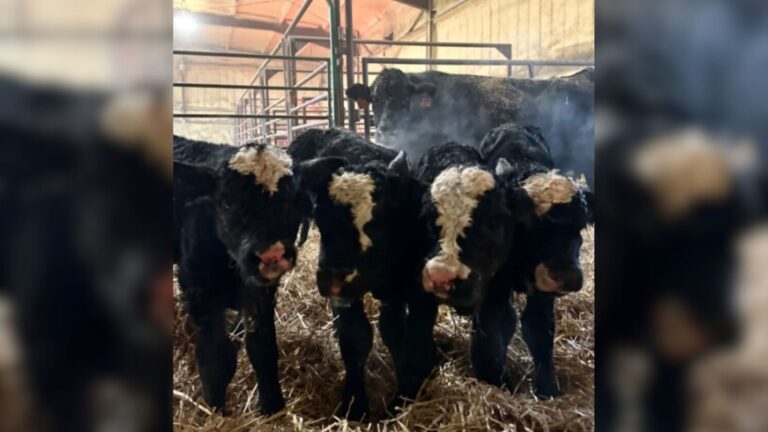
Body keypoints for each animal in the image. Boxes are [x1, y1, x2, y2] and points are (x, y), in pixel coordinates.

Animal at [480, 123, 593, 397]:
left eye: (580, 226)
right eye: (529, 224)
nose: (568, 276)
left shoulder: (543, 294)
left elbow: (538, 328)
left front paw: (548, 386)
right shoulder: (494, 284)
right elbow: (495, 324)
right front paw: (493, 378)